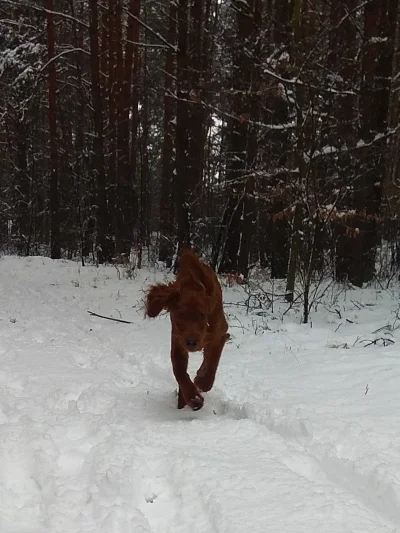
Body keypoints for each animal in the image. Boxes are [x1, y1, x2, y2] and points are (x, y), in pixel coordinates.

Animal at [146, 247, 228, 410]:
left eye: (202, 315)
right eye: (180, 315)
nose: (191, 342)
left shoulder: (219, 334)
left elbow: (212, 361)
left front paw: (202, 382)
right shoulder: (178, 340)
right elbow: (179, 370)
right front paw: (192, 398)